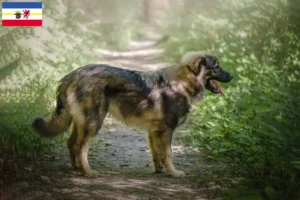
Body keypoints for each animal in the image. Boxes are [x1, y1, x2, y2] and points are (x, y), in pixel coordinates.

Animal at [32, 51, 233, 177]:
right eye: (217, 67)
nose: (232, 76)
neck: (183, 82)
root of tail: (72, 75)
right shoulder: (166, 129)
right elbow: (168, 153)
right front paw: (173, 173)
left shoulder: (154, 131)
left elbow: (157, 153)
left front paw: (160, 170)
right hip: (94, 122)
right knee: (81, 147)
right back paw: (87, 172)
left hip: (82, 121)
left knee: (72, 143)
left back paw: (76, 168)